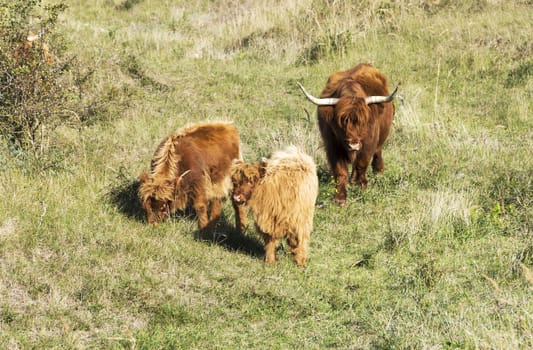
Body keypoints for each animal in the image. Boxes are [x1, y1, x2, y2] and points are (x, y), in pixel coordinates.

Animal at [298, 63, 396, 205]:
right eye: (342, 122)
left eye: (363, 122)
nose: (353, 145)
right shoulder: (332, 146)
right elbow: (341, 171)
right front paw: (340, 198)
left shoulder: (368, 144)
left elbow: (361, 164)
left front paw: (363, 186)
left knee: (378, 152)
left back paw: (378, 171)